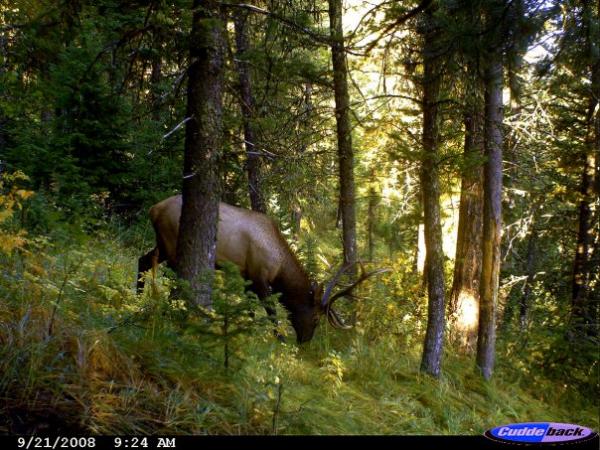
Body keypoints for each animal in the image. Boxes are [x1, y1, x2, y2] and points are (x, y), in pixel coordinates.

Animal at [138, 195, 386, 342]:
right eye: (316, 318)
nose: (305, 341)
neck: (279, 268)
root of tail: (154, 209)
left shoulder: (246, 275)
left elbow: (248, 307)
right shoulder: (260, 275)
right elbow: (270, 310)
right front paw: (279, 339)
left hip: (162, 243)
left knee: (143, 260)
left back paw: (139, 298)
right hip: (171, 243)